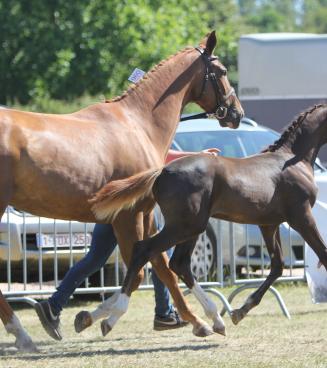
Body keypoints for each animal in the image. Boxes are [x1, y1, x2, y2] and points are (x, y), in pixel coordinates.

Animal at [0, 30, 243, 350]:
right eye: (223, 71)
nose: (237, 113)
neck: (139, 124)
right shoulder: (127, 216)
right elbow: (140, 272)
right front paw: (99, 318)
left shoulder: (144, 214)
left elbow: (162, 268)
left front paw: (199, 322)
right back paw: (22, 334)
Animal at [91, 104, 327, 336]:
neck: (292, 159)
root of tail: (161, 172)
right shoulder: (301, 217)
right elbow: (322, 254)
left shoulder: (269, 224)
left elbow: (277, 265)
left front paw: (240, 311)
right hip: (187, 226)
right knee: (145, 250)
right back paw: (111, 319)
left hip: (191, 228)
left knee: (178, 263)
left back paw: (215, 321)